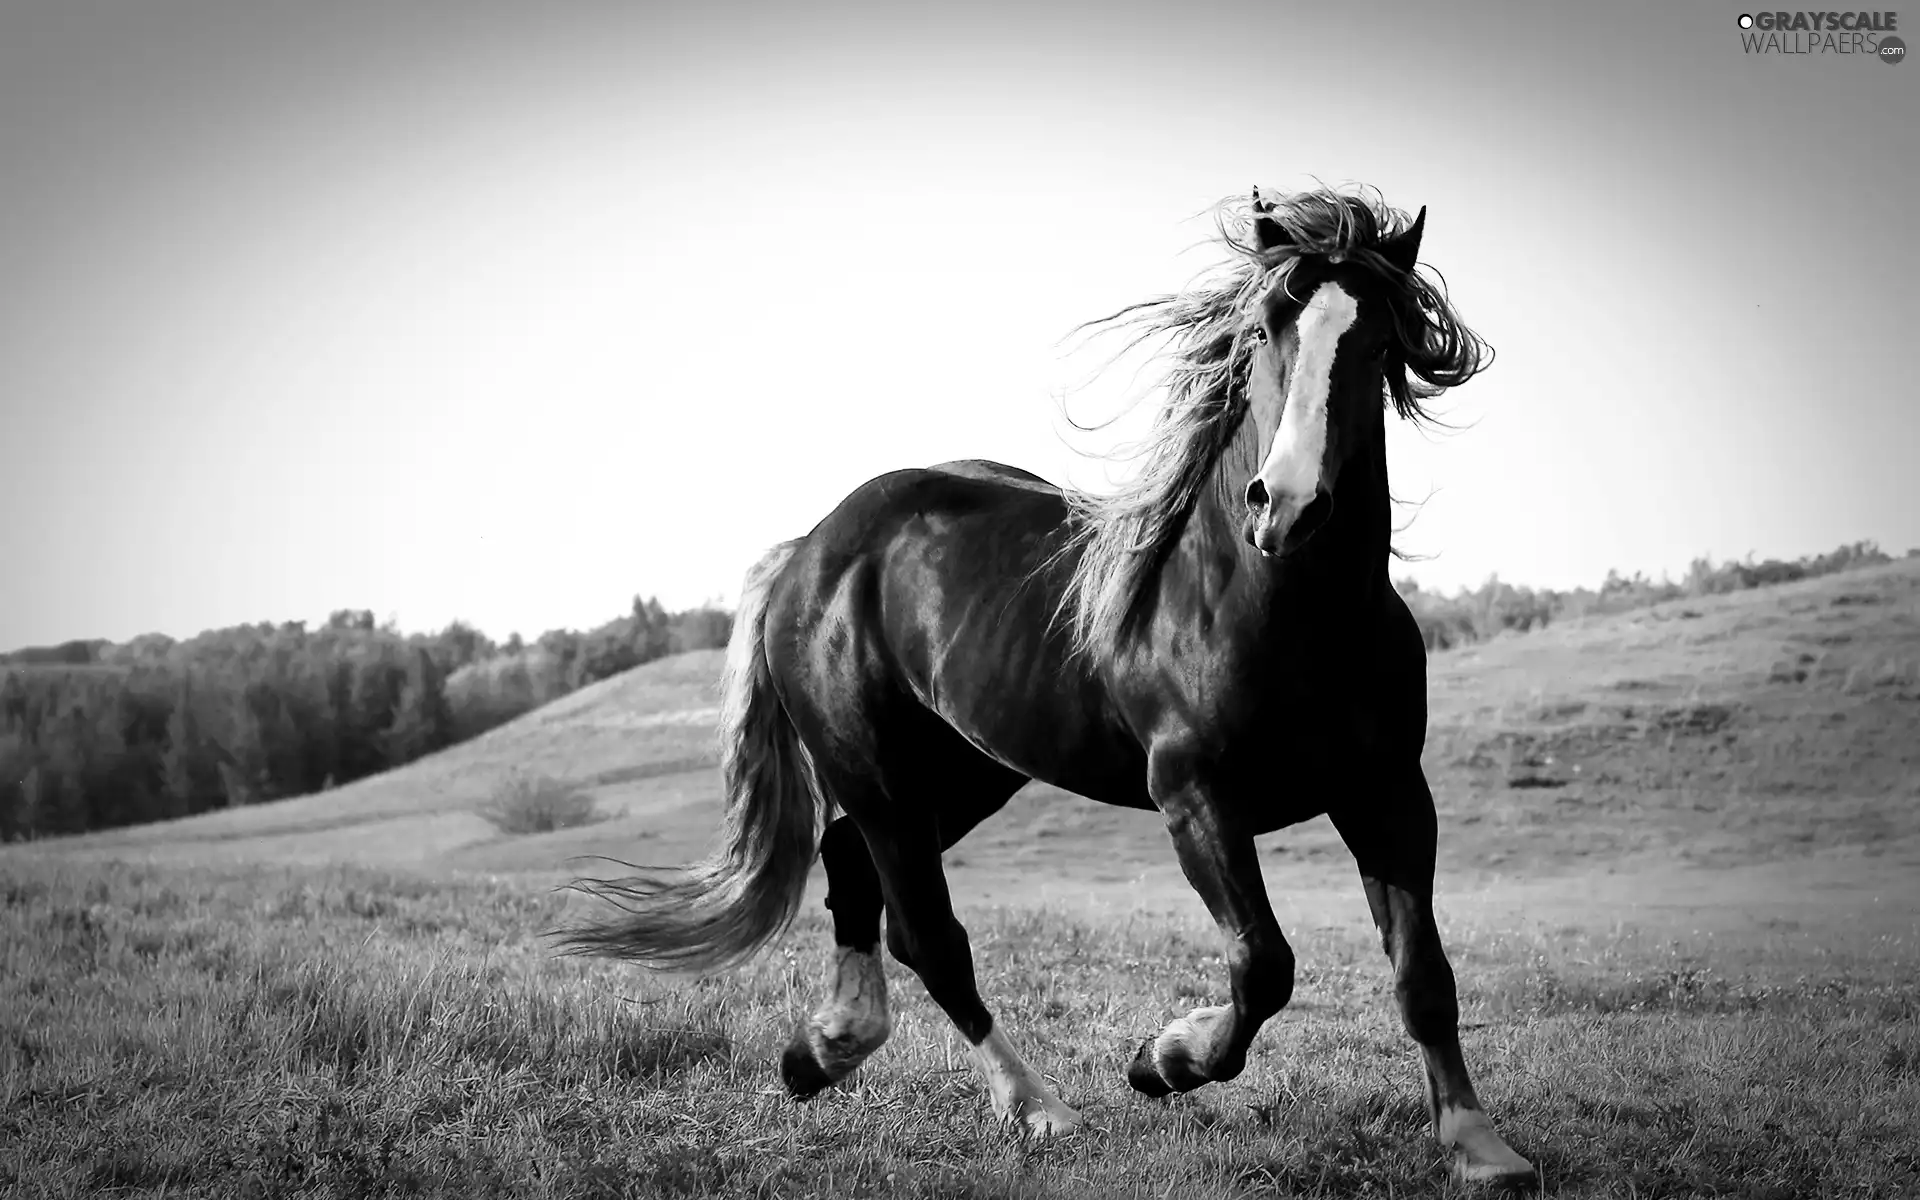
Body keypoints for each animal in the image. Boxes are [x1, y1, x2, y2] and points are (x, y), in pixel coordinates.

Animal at [552, 182, 1528, 1182]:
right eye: (1262, 329)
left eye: (1376, 343)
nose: (1285, 506)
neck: (1280, 611)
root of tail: (810, 552)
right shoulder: (1195, 795)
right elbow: (1264, 964)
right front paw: (1163, 1061)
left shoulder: (1389, 792)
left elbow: (1423, 974)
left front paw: (1478, 1145)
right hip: (880, 775)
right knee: (928, 934)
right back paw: (1035, 1106)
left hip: (965, 773)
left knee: (852, 868)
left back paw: (822, 1051)